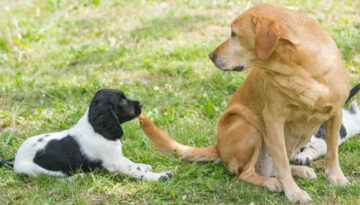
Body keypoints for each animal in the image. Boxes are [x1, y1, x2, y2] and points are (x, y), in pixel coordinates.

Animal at [0, 89, 173, 182]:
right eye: (122, 101)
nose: (141, 105)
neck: (96, 128)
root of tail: (15, 159)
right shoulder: (115, 162)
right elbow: (137, 170)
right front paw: (160, 176)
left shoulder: (117, 157)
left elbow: (134, 164)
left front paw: (145, 165)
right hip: (36, 170)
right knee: (55, 178)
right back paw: (78, 177)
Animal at [139, 4, 348, 203]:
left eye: (233, 33)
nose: (211, 56)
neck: (302, 70)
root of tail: (218, 147)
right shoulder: (273, 119)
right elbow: (281, 162)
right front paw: (293, 192)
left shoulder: (336, 113)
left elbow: (332, 151)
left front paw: (335, 177)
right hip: (249, 127)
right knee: (245, 174)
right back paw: (271, 182)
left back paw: (298, 170)